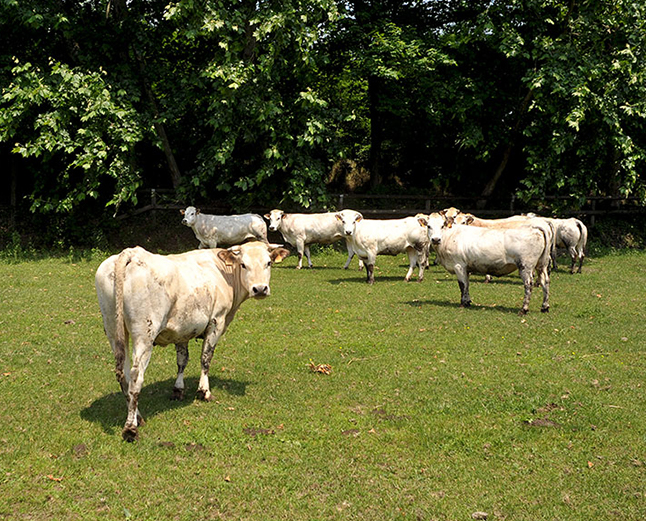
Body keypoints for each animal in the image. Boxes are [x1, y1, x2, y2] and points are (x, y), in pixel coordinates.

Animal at [95, 241, 290, 438]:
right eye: (243, 265)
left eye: (268, 263)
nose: (260, 289)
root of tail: (132, 253)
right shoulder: (216, 321)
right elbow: (206, 358)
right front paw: (204, 391)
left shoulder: (183, 328)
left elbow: (182, 360)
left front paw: (178, 389)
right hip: (144, 332)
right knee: (136, 376)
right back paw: (130, 428)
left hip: (114, 328)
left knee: (124, 375)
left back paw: (137, 417)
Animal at [428, 212, 556, 312]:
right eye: (429, 226)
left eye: (442, 225)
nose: (435, 239)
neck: (450, 236)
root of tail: (537, 227)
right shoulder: (466, 268)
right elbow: (467, 284)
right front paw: (468, 301)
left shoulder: (458, 265)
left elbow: (462, 285)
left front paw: (463, 303)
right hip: (541, 265)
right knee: (545, 282)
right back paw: (545, 307)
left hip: (526, 266)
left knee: (528, 284)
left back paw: (524, 309)